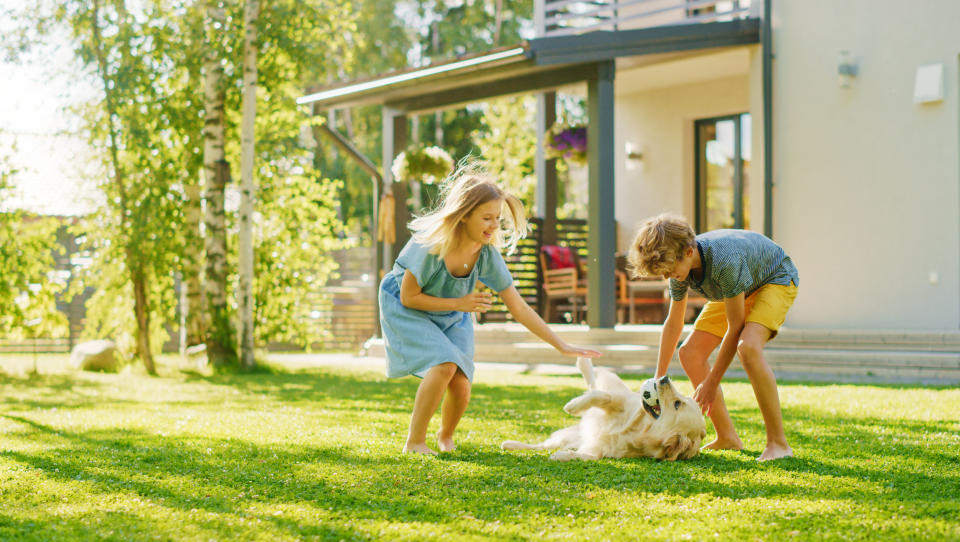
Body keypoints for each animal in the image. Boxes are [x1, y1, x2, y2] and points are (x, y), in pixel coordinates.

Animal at [502, 360, 704, 462]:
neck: (640, 429)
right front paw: (573, 406)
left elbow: (588, 456)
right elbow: (601, 395)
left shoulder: (601, 448)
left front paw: (564, 456)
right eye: (682, 399)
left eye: (677, 404)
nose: (664, 378)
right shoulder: (621, 398)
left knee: (543, 447)